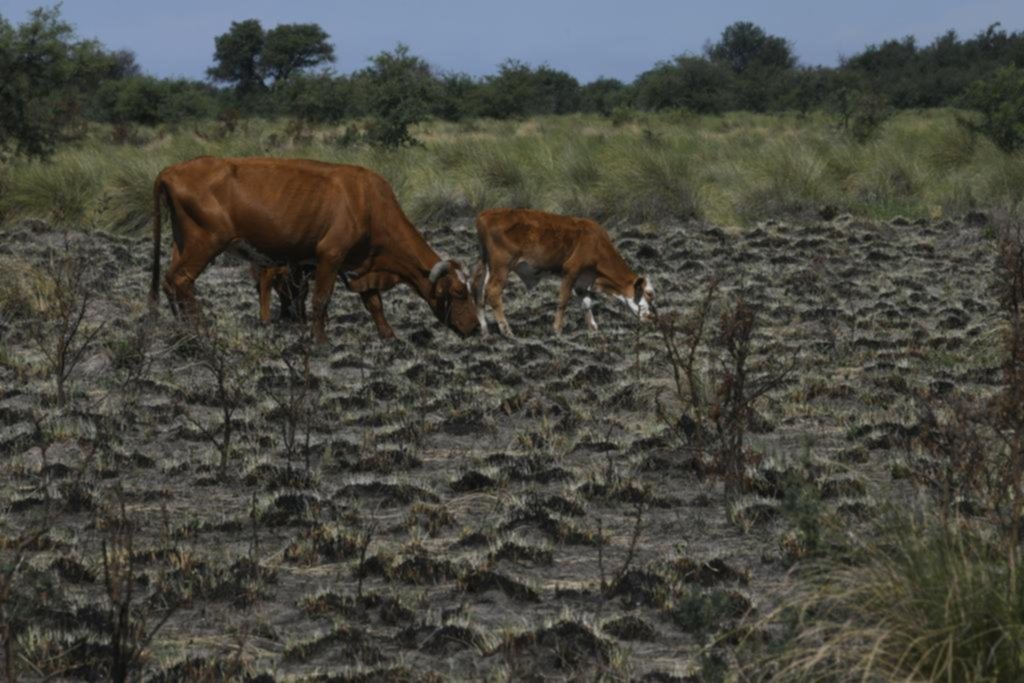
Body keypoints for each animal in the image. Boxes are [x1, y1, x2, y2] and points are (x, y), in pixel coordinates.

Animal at [150, 157, 479, 344]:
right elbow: (321, 300)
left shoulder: (358, 265)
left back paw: (181, 328)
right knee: (181, 282)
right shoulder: (330, 256)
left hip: (182, 243)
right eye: (459, 294)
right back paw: (201, 331)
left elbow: (374, 303)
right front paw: (321, 341)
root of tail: (171, 170)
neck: (368, 202)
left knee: (169, 281)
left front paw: (388, 335)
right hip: (203, 244)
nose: (476, 327)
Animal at [471, 206, 655, 337]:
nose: (650, 318)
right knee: (492, 291)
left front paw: (593, 328)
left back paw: (485, 331)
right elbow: (563, 301)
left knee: (478, 290)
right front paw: (557, 329)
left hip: (485, 265)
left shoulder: (584, 280)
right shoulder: (571, 271)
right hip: (501, 266)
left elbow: (586, 303)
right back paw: (507, 331)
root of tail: (486, 214)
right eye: (647, 294)